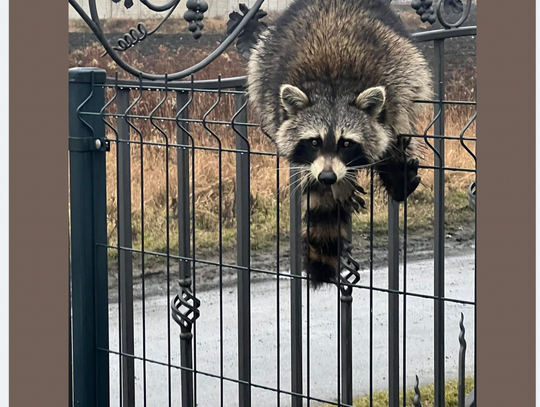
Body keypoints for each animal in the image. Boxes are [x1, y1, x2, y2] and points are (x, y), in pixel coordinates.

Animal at [248, 0, 430, 288]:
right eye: (313, 142)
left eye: (346, 144)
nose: (327, 177)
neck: (332, 88)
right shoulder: (275, 103)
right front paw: (337, 183)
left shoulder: (396, 83)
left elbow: (396, 129)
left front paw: (393, 164)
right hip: (263, 62)